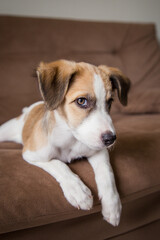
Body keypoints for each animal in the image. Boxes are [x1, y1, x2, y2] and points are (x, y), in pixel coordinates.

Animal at [0, 60, 130, 227]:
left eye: (110, 102)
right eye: (81, 101)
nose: (111, 139)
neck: (70, 138)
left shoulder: (98, 150)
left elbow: (107, 172)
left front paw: (112, 205)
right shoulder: (31, 155)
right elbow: (58, 164)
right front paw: (78, 190)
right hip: (8, 129)